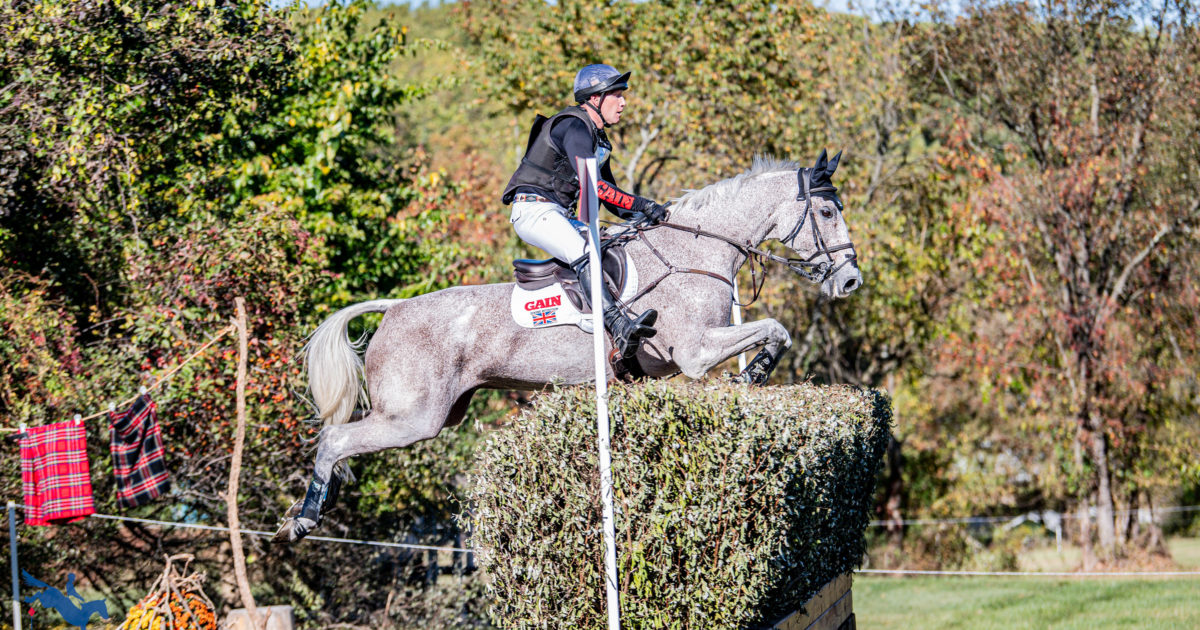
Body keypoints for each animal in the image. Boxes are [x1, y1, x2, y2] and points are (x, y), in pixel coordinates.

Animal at [274, 151, 864, 540]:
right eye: (828, 212)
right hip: (411, 418)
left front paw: (754, 373)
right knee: (334, 440)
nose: (851, 281)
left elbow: (777, 330)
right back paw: (303, 518)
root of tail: (393, 309)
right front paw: (754, 372)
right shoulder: (696, 352)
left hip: (436, 414)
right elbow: (775, 328)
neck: (694, 252)